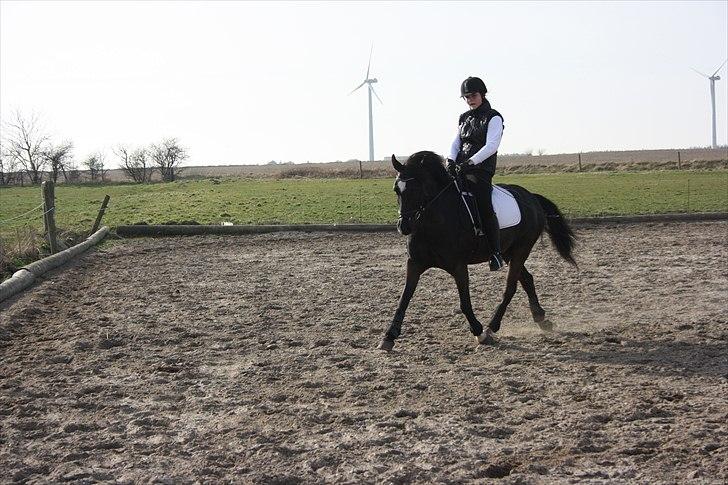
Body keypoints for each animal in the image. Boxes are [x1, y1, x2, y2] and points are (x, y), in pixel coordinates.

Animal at [378, 149, 576, 350]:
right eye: (397, 190)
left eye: (417, 189)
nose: (404, 227)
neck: (433, 222)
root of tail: (531, 197)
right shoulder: (415, 263)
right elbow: (404, 298)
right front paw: (389, 336)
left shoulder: (458, 266)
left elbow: (464, 302)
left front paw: (479, 332)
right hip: (508, 252)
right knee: (527, 279)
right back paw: (541, 319)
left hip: (522, 249)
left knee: (510, 287)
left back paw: (492, 327)